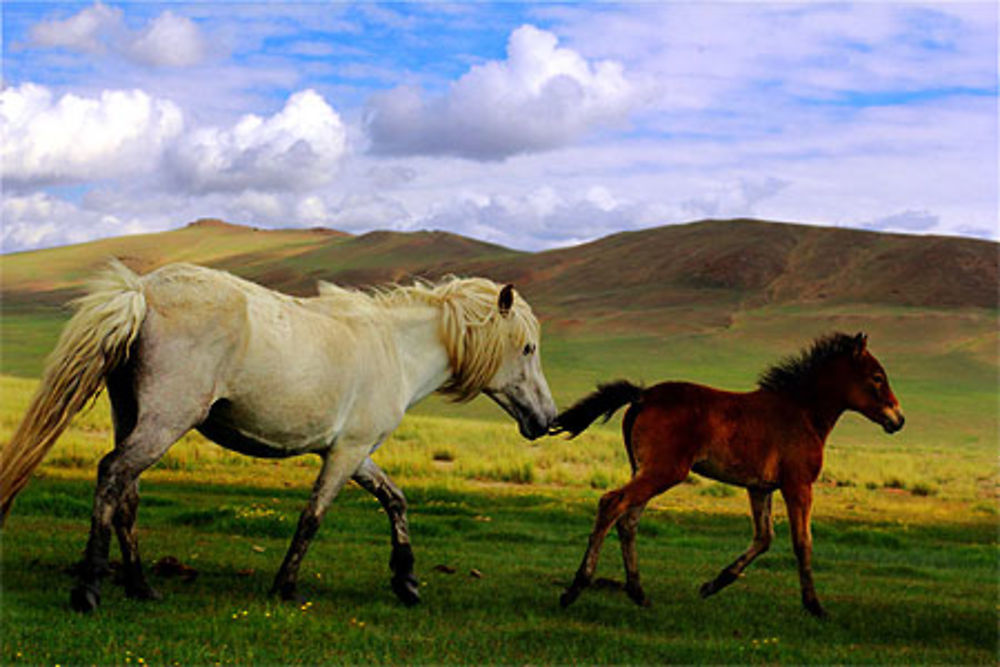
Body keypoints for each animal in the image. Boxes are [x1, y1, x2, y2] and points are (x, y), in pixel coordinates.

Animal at [0, 260, 560, 612]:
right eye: (528, 349)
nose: (545, 420)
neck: (396, 349)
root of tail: (143, 291)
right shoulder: (346, 453)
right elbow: (313, 516)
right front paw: (285, 587)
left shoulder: (355, 452)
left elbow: (395, 500)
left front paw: (406, 581)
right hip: (166, 420)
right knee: (113, 473)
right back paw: (89, 588)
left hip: (133, 414)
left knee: (127, 496)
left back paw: (141, 588)